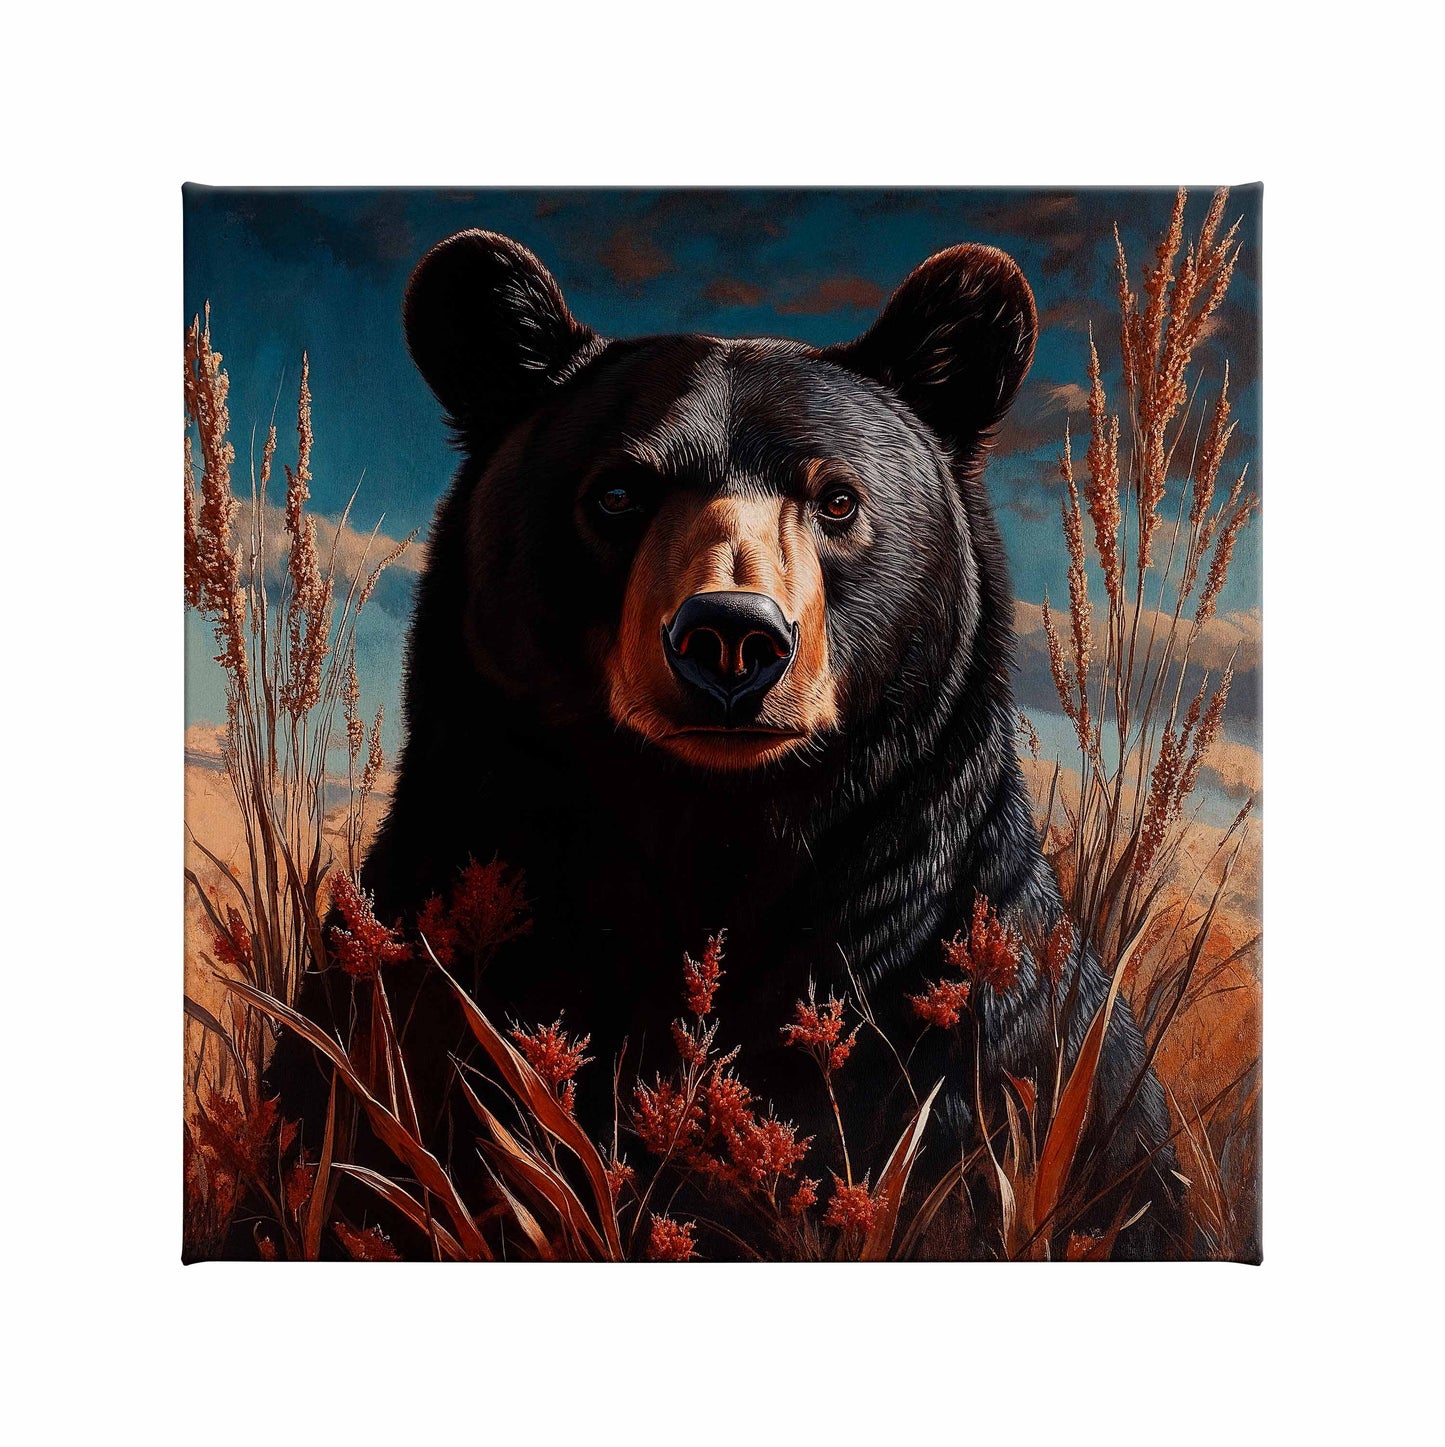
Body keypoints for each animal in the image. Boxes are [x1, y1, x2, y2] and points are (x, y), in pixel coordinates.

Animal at [273, 228, 1183, 1259]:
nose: (732, 638)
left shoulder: (986, 1004)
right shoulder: (425, 946)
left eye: (836, 500)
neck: (715, 835)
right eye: (617, 491)